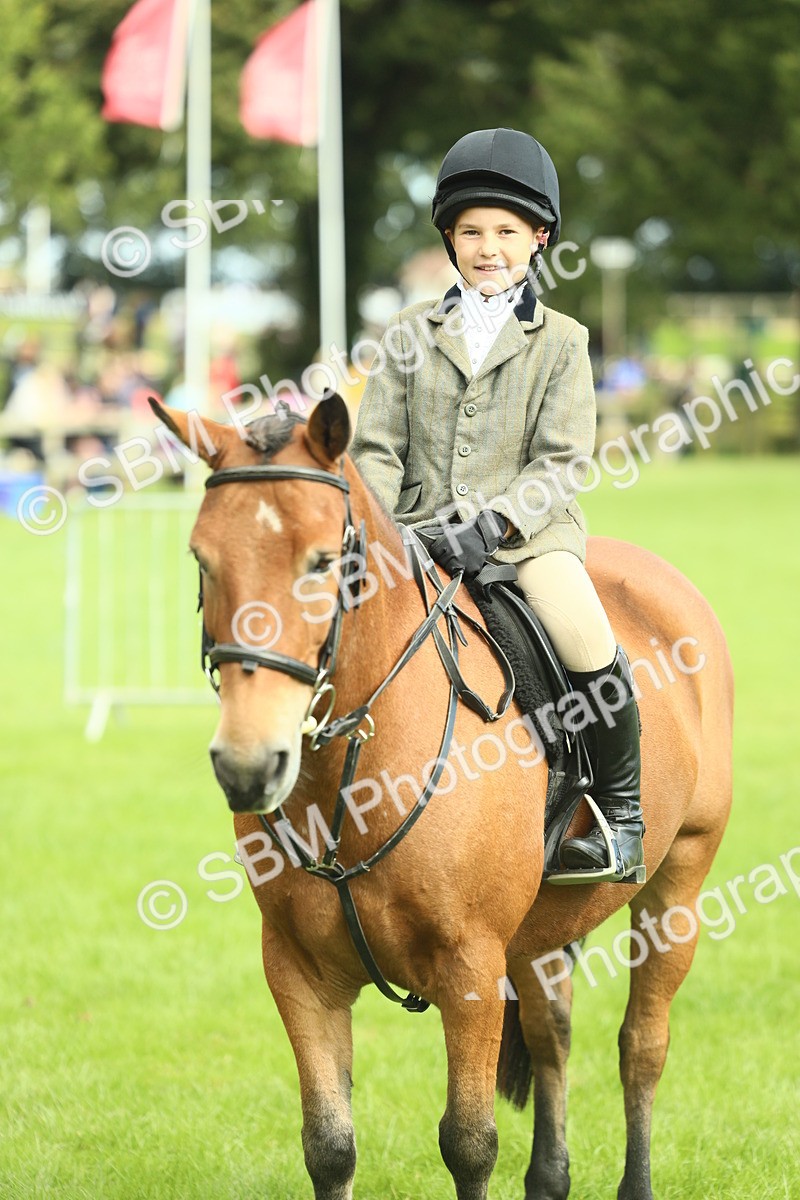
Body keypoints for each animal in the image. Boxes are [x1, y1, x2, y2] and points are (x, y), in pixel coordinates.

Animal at [151, 392, 733, 1200]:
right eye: (202, 559)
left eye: (323, 562)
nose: (247, 764)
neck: (354, 780)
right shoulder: (299, 972)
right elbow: (329, 1147)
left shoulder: (469, 969)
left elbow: (469, 1143)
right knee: (552, 1035)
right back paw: (549, 1178)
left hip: (678, 880)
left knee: (642, 1043)